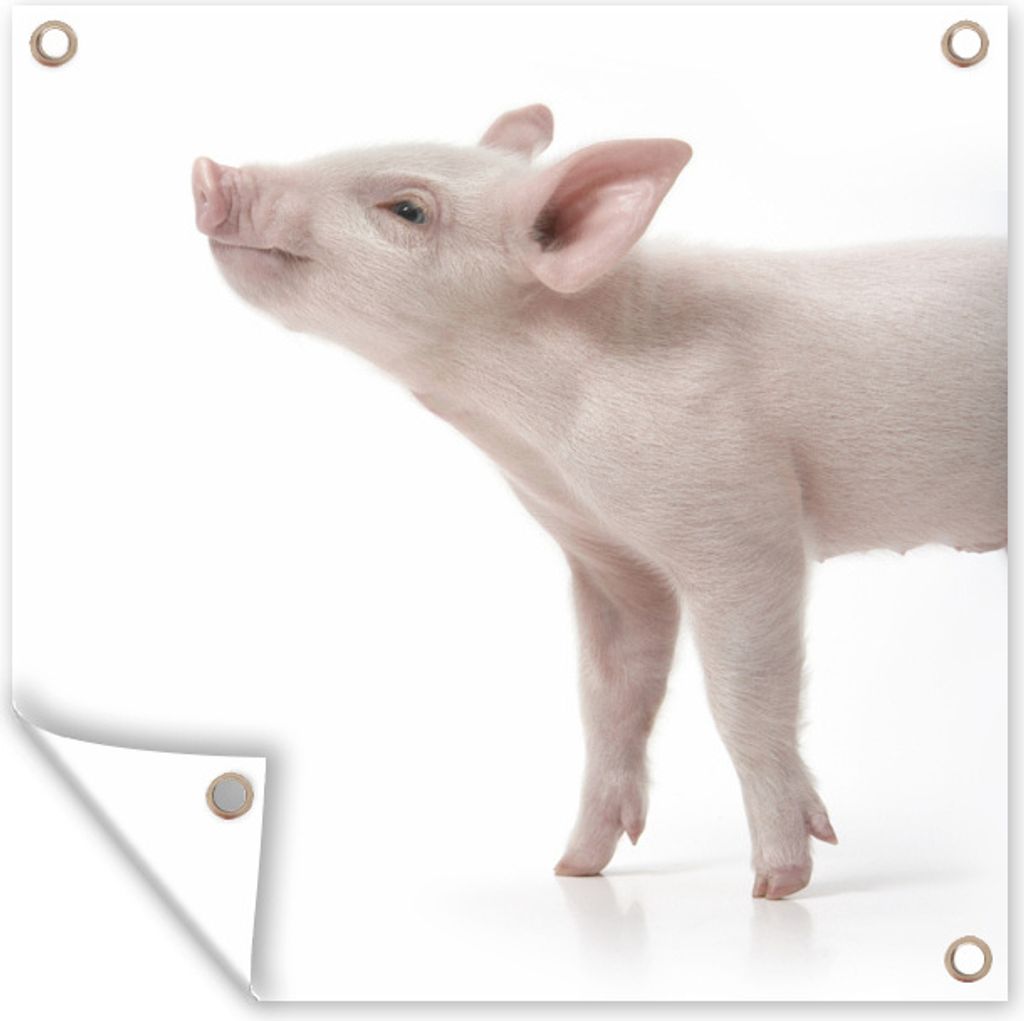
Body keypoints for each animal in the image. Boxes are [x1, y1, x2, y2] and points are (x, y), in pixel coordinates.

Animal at [192, 105, 1006, 899]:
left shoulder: (740, 518)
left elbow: (740, 697)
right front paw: (574, 868)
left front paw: (775, 885)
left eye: (408, 209)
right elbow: (610, 694)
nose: (209, 172)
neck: (527, 427)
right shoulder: (605, 551)